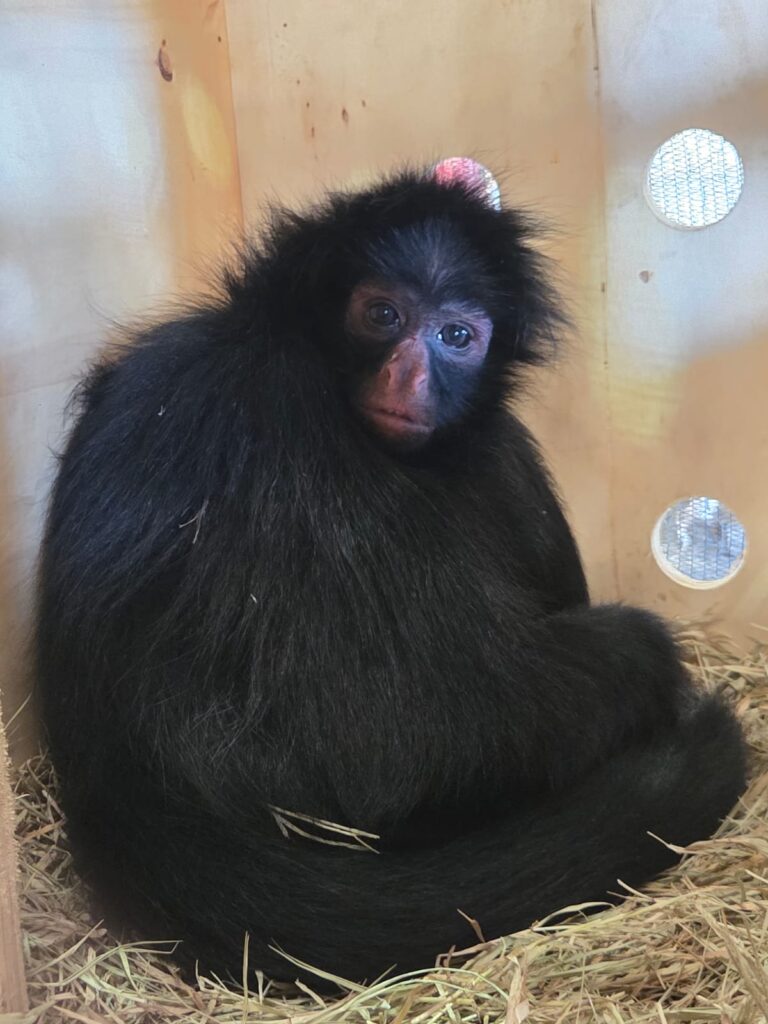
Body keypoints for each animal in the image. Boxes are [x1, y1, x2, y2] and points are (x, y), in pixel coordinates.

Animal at [36, 163, 746, 987]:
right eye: (381, 314)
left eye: (456, 336)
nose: (409, 375)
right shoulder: (280, 415)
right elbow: (393, 743)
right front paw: (653, 664)